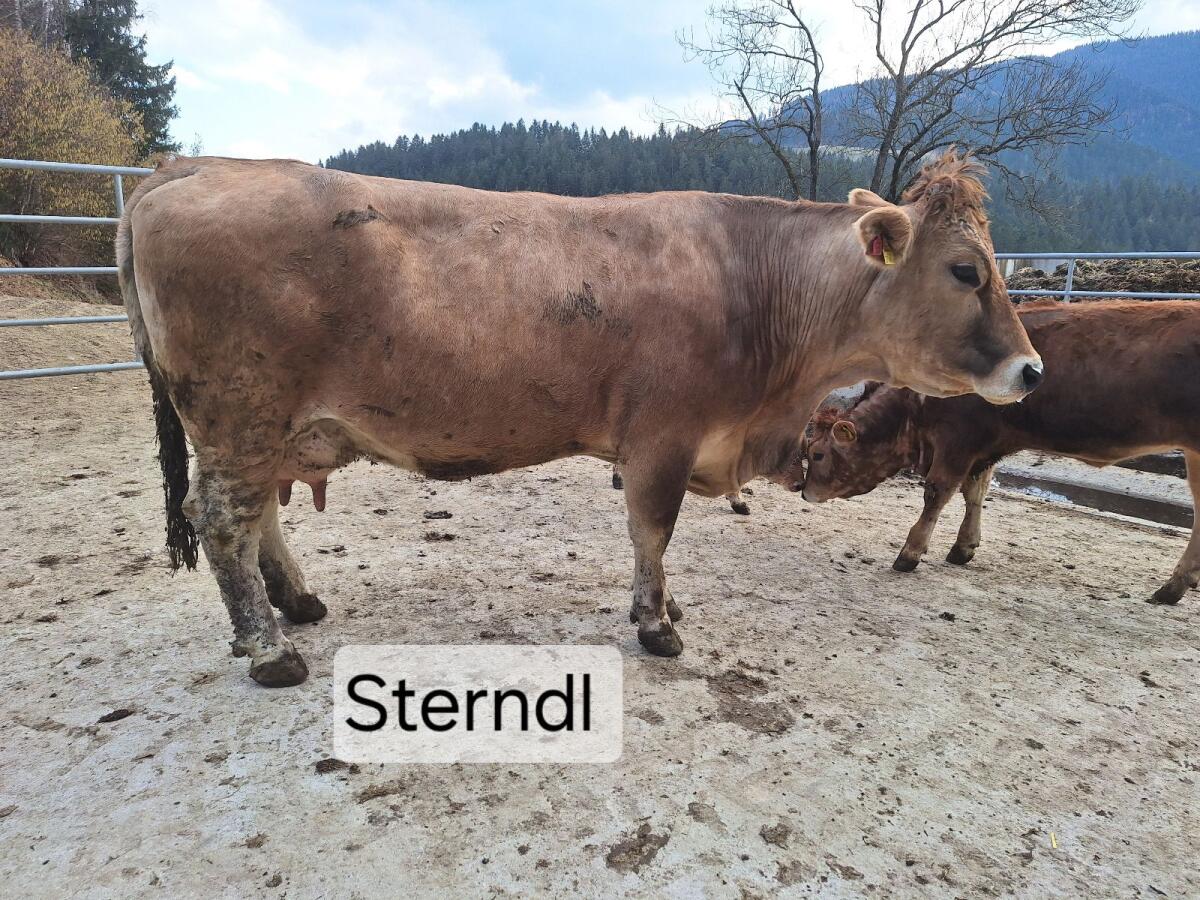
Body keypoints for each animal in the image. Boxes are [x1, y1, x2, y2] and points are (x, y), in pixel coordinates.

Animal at [118, 150, 1040, 686]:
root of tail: (189, 167)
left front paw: (664, 612)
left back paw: (297, 603)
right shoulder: (663, 436)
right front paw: (657, 625)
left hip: (262, 425)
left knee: (257, 514)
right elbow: (653, 532)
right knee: (222, 518)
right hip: (240, 412)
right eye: (967, 271)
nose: (1032, 370)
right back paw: (269, 649)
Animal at [802, 299, 1200, 605]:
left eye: (818, 454)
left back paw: (1172, 586)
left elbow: (937, 493)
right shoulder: (984, 447)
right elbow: (974, 493)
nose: (805, 492)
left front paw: (910, 553)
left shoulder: (957, 442)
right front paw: (963, 547)